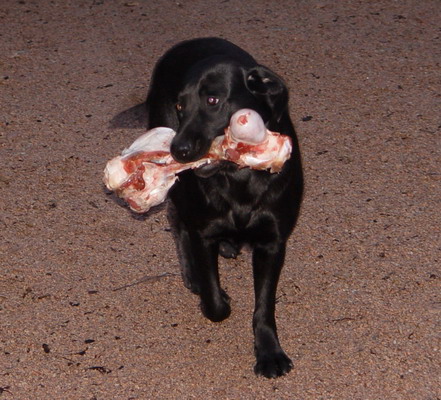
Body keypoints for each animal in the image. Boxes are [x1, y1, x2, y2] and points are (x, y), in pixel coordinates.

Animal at [145, 37, 303, 378]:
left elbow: (264, 306)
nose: (178, 150)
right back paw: (193, 273)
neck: (238, 177)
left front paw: (269, 352)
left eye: (213, 100)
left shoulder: (272, 243)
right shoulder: (204, 234)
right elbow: (215, 303)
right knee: (178, 221)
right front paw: (214, 298)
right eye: (181, 106)